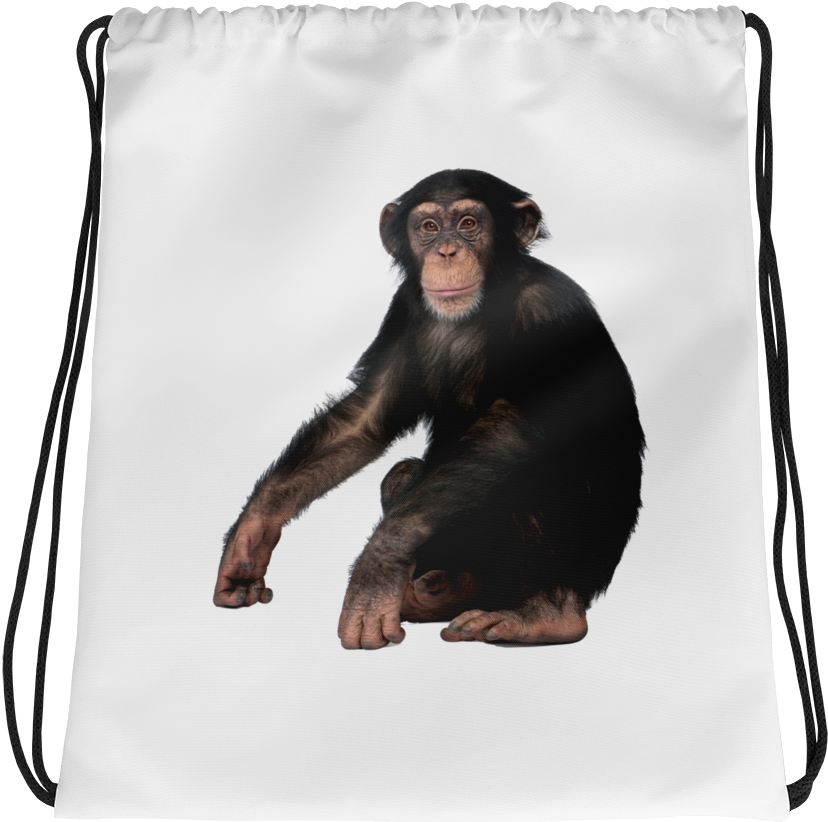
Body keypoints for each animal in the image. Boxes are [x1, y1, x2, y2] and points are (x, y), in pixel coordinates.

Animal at [213, 169, 645, 650]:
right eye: (430, 227)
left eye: (469, 224)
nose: (447, 250)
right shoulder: (404, 308)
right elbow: (366, 417)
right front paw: (251, 536)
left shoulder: (548, 310)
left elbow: (518, 425)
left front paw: (378, 567)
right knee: (401, 474)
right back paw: (441, 594)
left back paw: (547, 614)